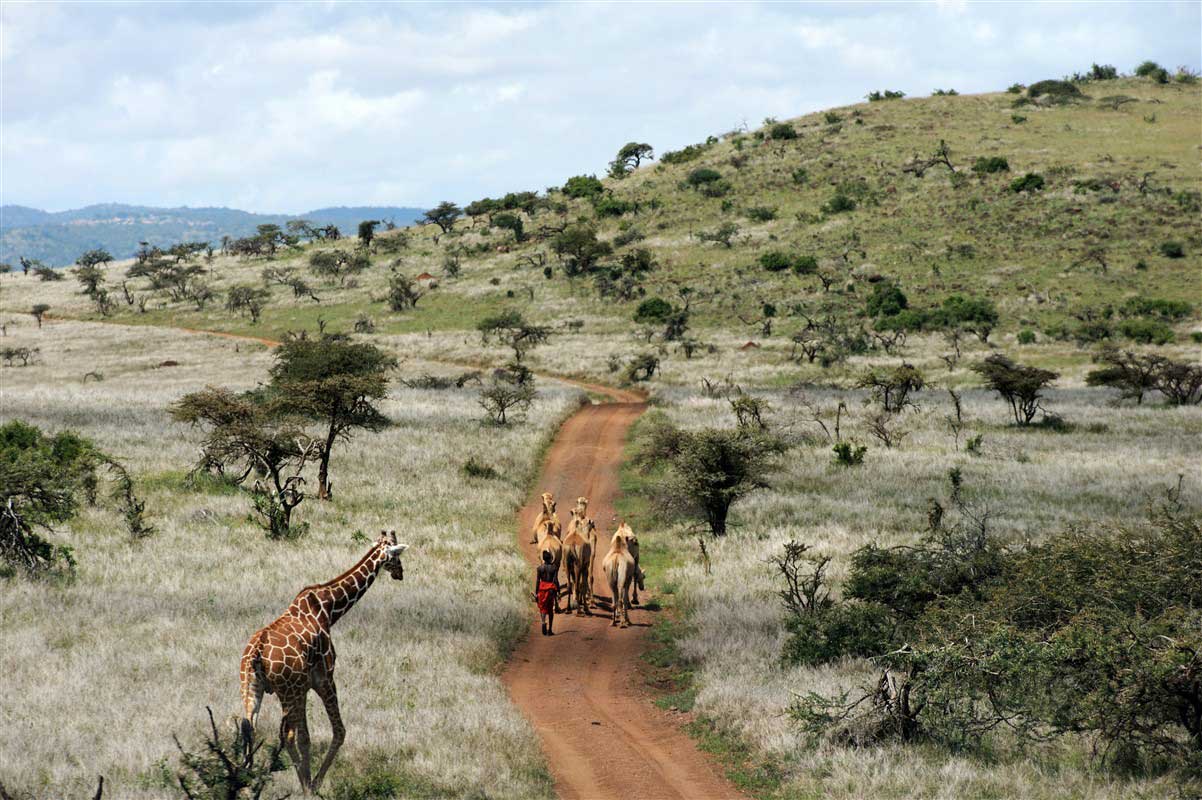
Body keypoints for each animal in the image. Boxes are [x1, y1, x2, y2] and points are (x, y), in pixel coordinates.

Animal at [236, 528, 411, 792]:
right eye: (396, 554)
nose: (400, 573)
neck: (329, 609)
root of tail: (256, 652)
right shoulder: (324, 678)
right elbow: (338, 731)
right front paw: (312, 784)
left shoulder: (305, 686)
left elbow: (305, 737)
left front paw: (308, 781)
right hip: (288, 691)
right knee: (285, 734)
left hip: (251, 687)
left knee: (250, 727)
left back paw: (246, 782)